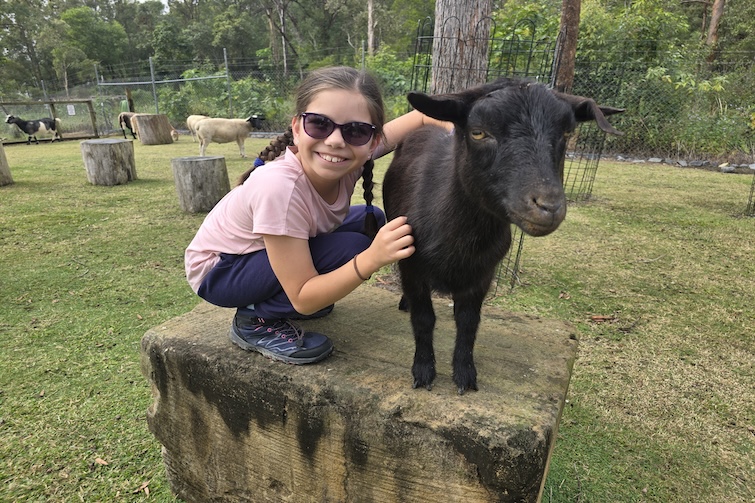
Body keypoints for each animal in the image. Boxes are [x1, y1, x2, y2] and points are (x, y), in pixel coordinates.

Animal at [382, 78, 624, 394]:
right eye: (478, 132)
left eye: (567, 132)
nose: (548, 206)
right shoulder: (411, 265)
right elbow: (424, 319)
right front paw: (423, 371)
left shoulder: (483, 273)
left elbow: (469, 322)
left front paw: (465, 374)